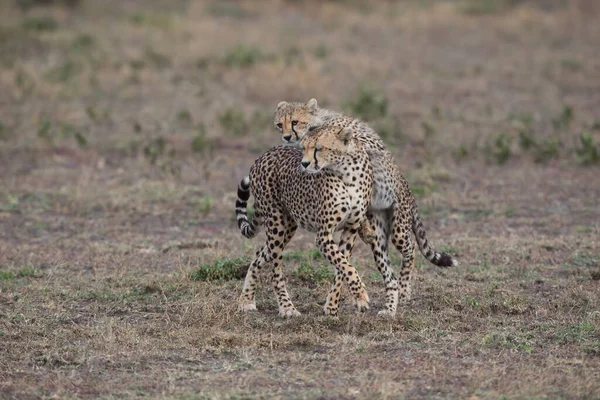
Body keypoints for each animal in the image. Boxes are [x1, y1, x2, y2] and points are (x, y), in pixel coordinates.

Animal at [236, 122, 372, 316]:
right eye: (303, 148)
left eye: (318, 149)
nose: (305, 164)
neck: (348, 173)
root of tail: (263, 155)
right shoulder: (323, 235)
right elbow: (346, 266)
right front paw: (360, 294)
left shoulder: (350, 229)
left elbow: (342, 267)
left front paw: (332, 306)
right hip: (276, 225)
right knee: (276, 271)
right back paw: (287, 308)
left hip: (288, 227)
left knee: (259, 255)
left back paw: (246, 299)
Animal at [274, 97, 458, 316]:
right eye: (279, 124)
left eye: (294, 122)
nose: (286, 137)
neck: (319, 122)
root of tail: (409, 190)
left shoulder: (362, 143)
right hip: (380, 236)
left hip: (399, 227)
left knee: (411, 248)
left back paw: (404, 289)